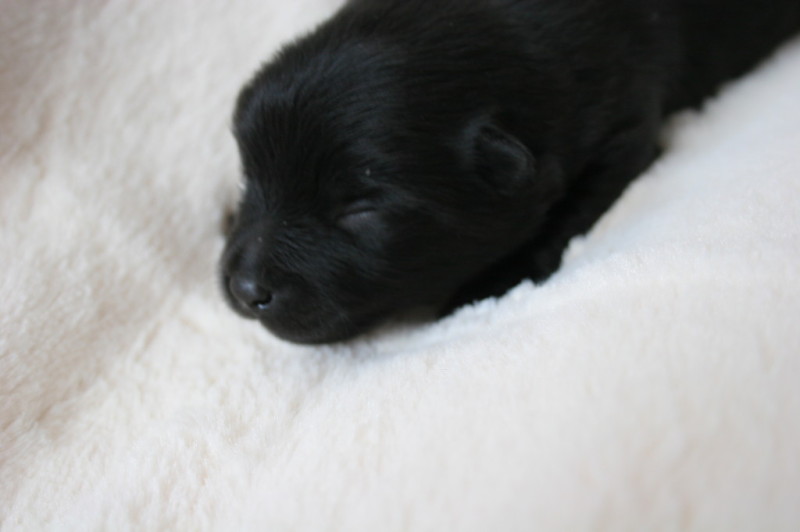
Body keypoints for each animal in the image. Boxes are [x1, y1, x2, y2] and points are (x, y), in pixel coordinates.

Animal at [220, 0, 800, 344]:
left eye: (358, 209)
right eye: (250, 180)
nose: (246, 290)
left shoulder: (624, 126)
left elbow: (566, 211)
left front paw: (489, 282)